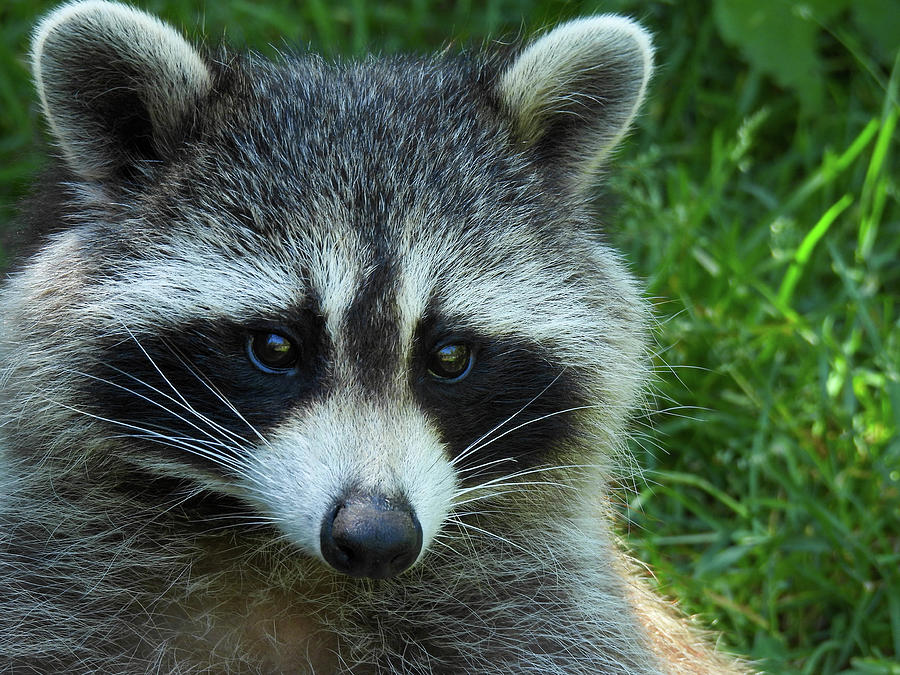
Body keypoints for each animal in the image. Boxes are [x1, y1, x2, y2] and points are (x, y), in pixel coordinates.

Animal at [0, 2, 744, 672]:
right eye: (275, 347)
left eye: (450, 355)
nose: (377, 536)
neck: (280, 560)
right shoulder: (48, 575)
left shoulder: (550, 610)